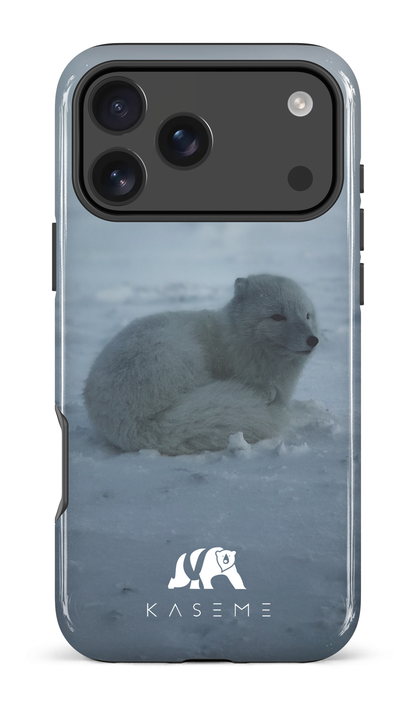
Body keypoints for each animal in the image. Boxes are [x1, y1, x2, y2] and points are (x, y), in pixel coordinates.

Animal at [84, 274, 319, 455]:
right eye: (277, 316)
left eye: (307, 315)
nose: (313, 340)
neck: (235, 340)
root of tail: (131, 424)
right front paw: (265, 392)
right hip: (178, 355)